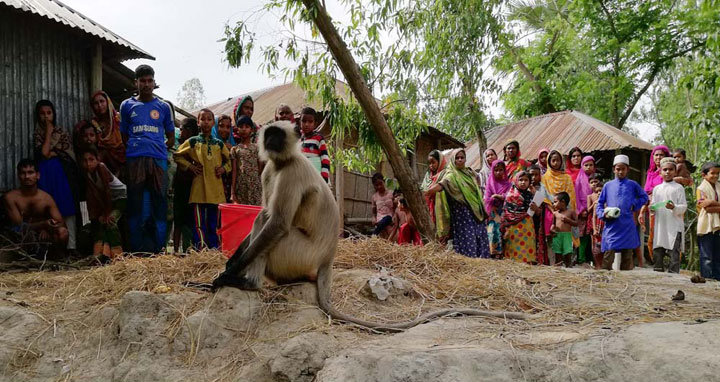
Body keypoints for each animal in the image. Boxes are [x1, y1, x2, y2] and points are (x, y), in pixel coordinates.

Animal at [214, 121, 528, 332]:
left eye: (278, 135)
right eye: (270, 134)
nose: (271, 141)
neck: (283, 162)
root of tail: (328, 258)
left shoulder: (291, 173)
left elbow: (276, 222)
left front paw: (230, 271)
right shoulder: (270, 169)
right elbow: (266, 214)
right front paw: (230, 263)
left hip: (297, 252)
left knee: (270, 225)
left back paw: (248, 282)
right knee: (263, 219)